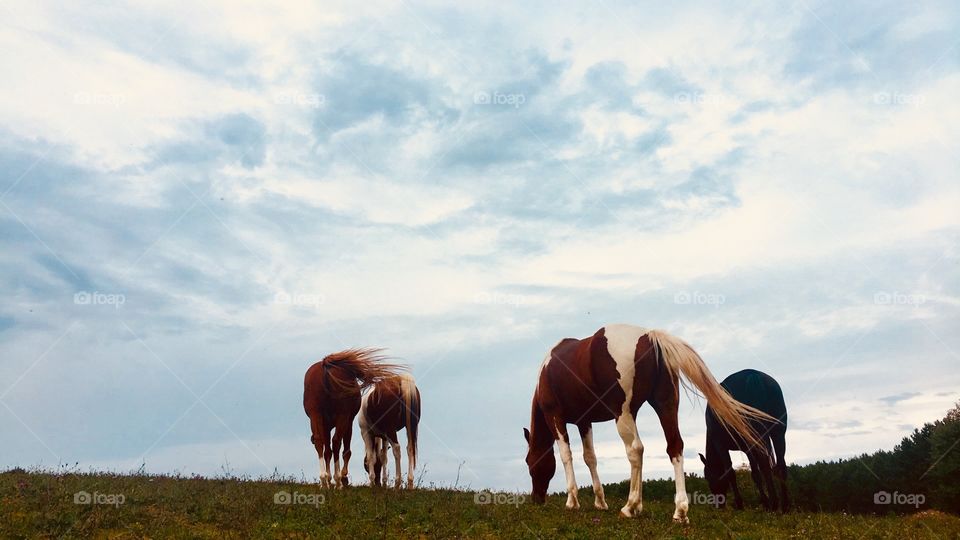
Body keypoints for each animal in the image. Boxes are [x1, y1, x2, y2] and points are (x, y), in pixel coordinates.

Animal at [303, 348, 407, 488]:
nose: (378, 483)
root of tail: (326, 366)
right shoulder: (348, 421)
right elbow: (346, 450)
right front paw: (343, 477)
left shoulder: (326, 425)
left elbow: (327, 451)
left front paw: (328, 480)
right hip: (342, 417)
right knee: (336, 442)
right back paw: (338, 481)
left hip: (315, 415)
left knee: (321, 442)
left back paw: (324, 480)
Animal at [523, 324, 774, 522]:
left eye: (529, 462)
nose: (536, 499)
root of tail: (650, 337)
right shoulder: (584, 422)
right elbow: (590, 458)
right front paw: (600, 502)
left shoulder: (555, 417)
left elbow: (567, 455)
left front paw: (572, 502)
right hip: (665, 406)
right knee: (674, 447)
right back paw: (679, 512)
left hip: (624, 414)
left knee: (635, 450)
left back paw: (630, 506)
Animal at [699, 368, 789, 511]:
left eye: (708, 477)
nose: (718, 505)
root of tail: (753, 374)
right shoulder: (748, 448)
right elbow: (756, 472)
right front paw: (765, 501)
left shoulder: (721, 445)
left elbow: (730, 472)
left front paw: (740, 504)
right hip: (778, 433)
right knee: (780, 464)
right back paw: (784, 506)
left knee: (765, 464)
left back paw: (773, 503)